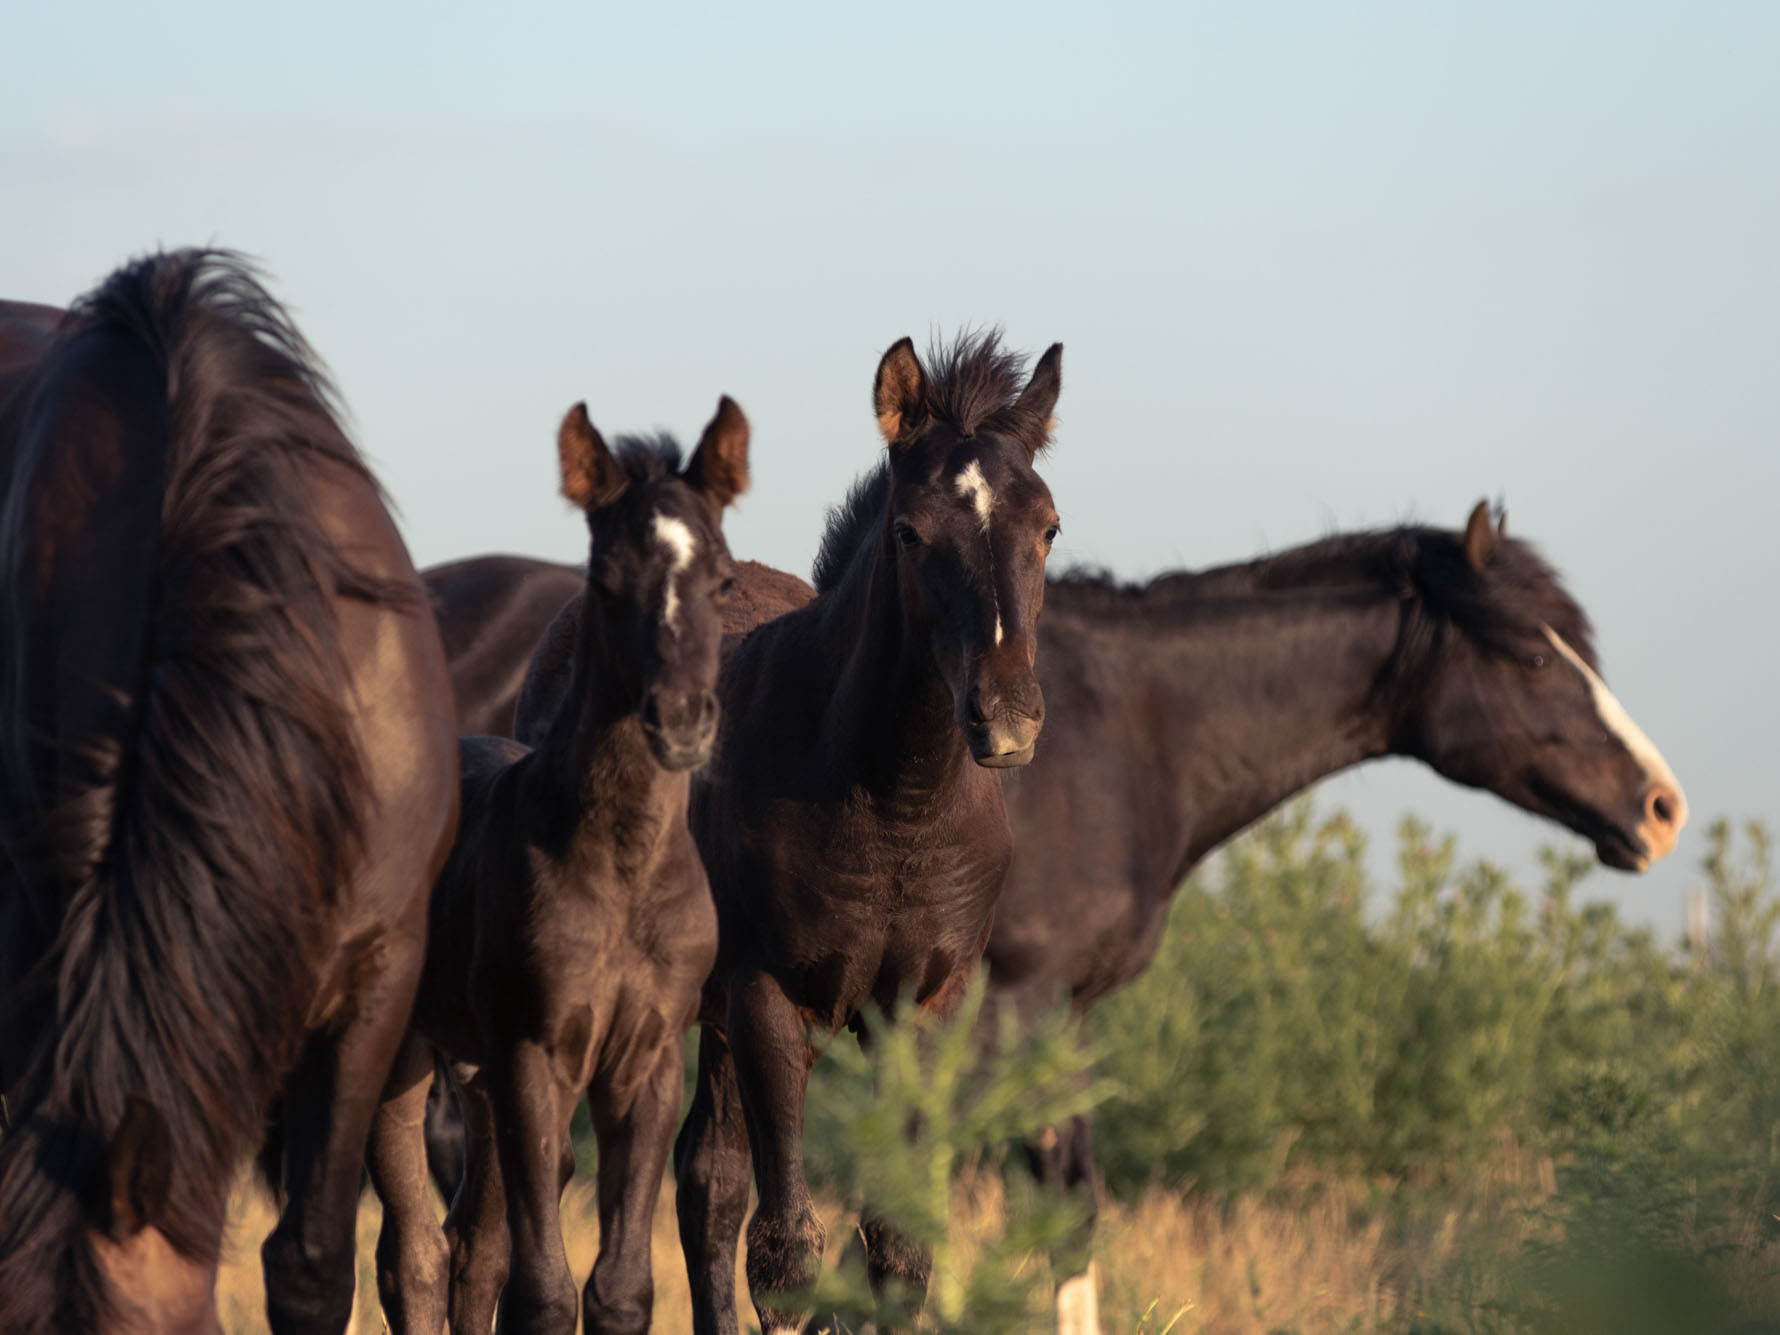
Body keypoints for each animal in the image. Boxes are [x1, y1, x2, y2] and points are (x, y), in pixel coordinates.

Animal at [367, 398, 750, 1335]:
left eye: (724, 580)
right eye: (604, 580)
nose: (681, 719)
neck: (621, 874)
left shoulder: (647, 1062)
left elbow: (618, 1287)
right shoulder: (531, 1059)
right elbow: (542, 1291)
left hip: (472, 1075)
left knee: (469, 1248)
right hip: (404, 1056)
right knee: (413, 1254)